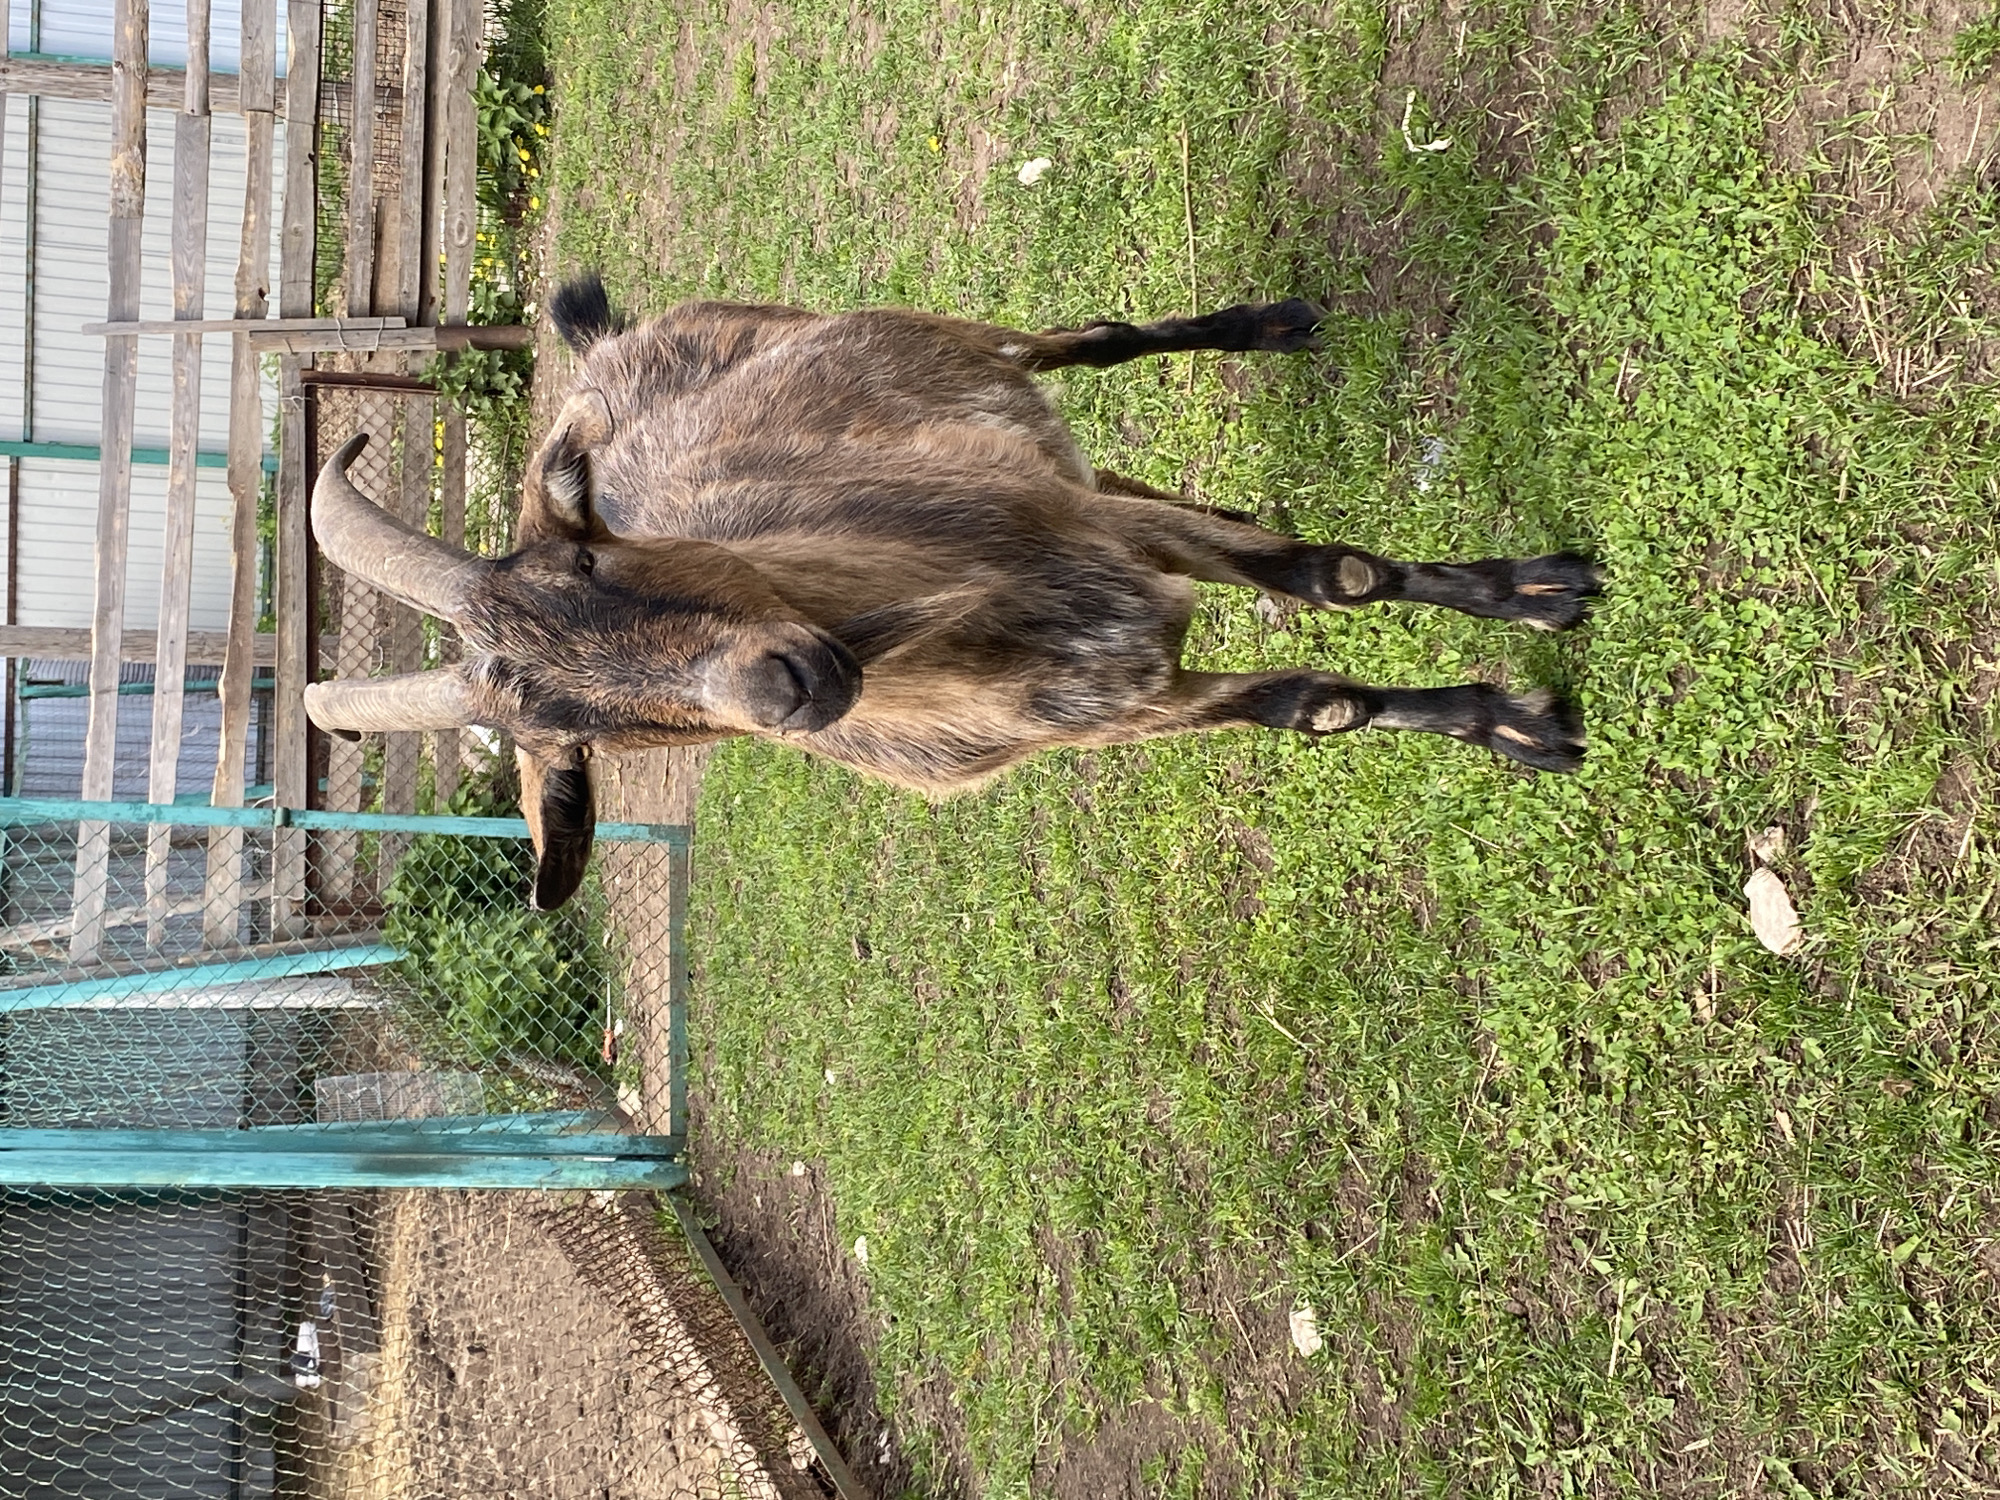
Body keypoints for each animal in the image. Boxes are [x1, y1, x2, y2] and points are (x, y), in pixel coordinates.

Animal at [306, 277, 1598, 908]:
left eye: (593, 561)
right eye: (587, 739)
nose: (784, 686)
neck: (990, 643)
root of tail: (609, 347)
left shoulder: (1099, 534)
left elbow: (1334, 576)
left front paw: (1534, 600)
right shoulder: (1132, 702)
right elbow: (1313, 705)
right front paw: (1503, 718)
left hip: (933, 338)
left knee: (1084, 338)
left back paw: (1266, 323)